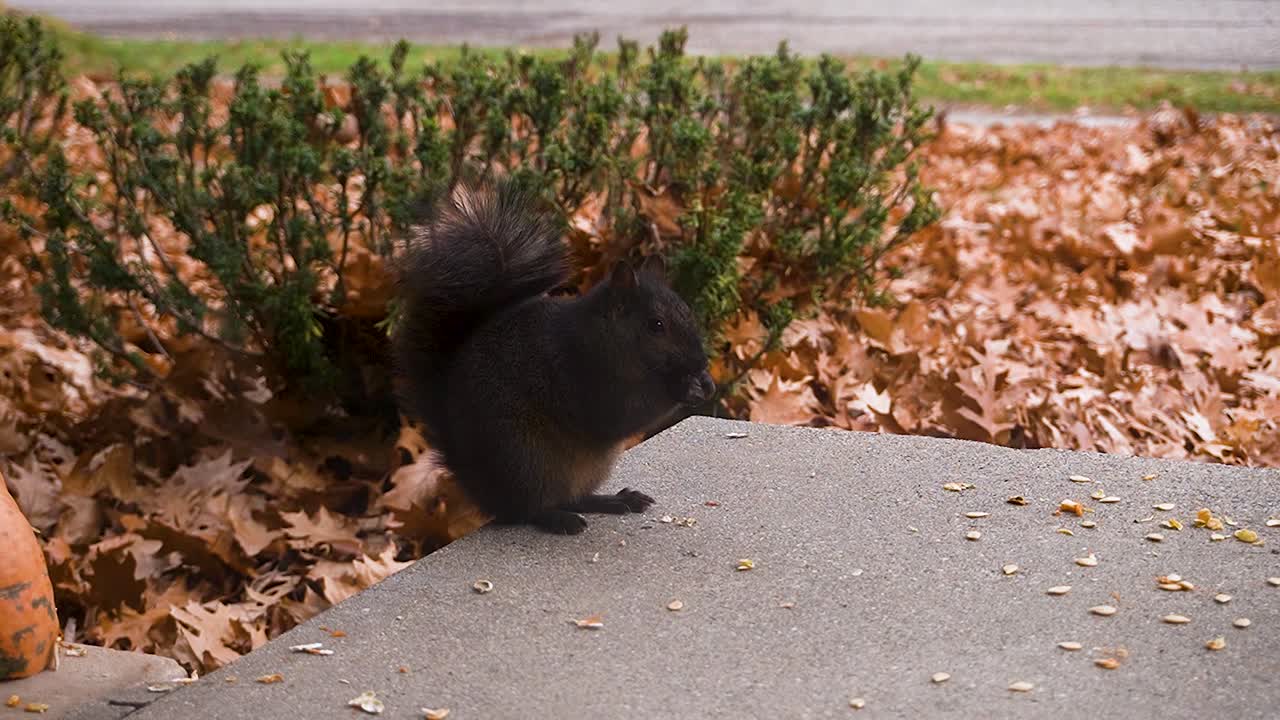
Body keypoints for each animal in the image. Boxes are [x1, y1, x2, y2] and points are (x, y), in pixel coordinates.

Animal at [391, 181, 715, 534]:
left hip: (586, 467)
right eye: (656, 325)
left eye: (687, 311)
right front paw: (682, 388)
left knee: (573, 497)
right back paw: (557, 518)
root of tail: (480, 484)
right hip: (524, 459)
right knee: (528, 510)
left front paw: (705, 383)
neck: (604, 340)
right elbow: (618, 414)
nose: (700, 362)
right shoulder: (574, 373)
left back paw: (614, 500)